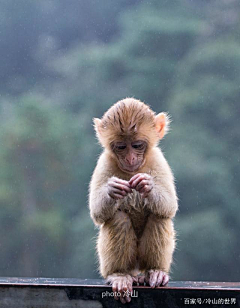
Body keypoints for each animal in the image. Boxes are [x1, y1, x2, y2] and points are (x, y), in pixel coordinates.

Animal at [89, 98, 177, 304]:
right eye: (121, 147)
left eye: (137, 145)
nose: (129, 158)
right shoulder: (104, 162)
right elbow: (96, 212)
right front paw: (111, 190)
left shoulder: (159, 159)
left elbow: (170, 206)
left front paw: (147, 185)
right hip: (127, 263)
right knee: (118, 219)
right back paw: (119, 275)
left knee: (159, 216)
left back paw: (155, 271)